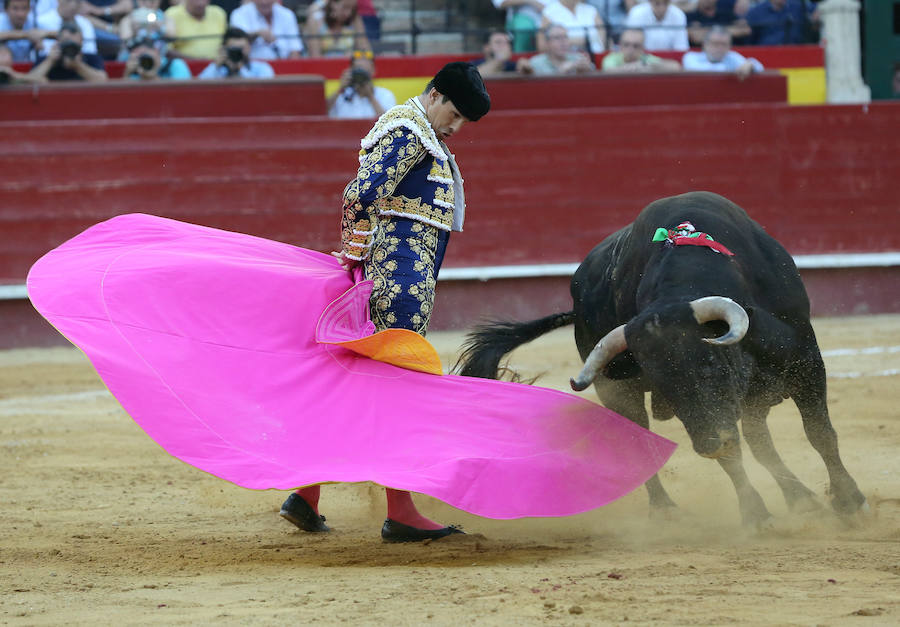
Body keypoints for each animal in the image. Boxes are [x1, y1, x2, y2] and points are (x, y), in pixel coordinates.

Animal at [460, 191, 868, 524]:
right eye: (663, 385)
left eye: (710, 365)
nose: (707, 445)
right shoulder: (710, 412)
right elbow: (732, 453)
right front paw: (756, 515)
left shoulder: (807, 360)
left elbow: (819, 434)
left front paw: (851, 503)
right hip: (618, 393)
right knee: (643, 444)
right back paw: (666, 509)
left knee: (759, 440)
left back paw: (802, 499)